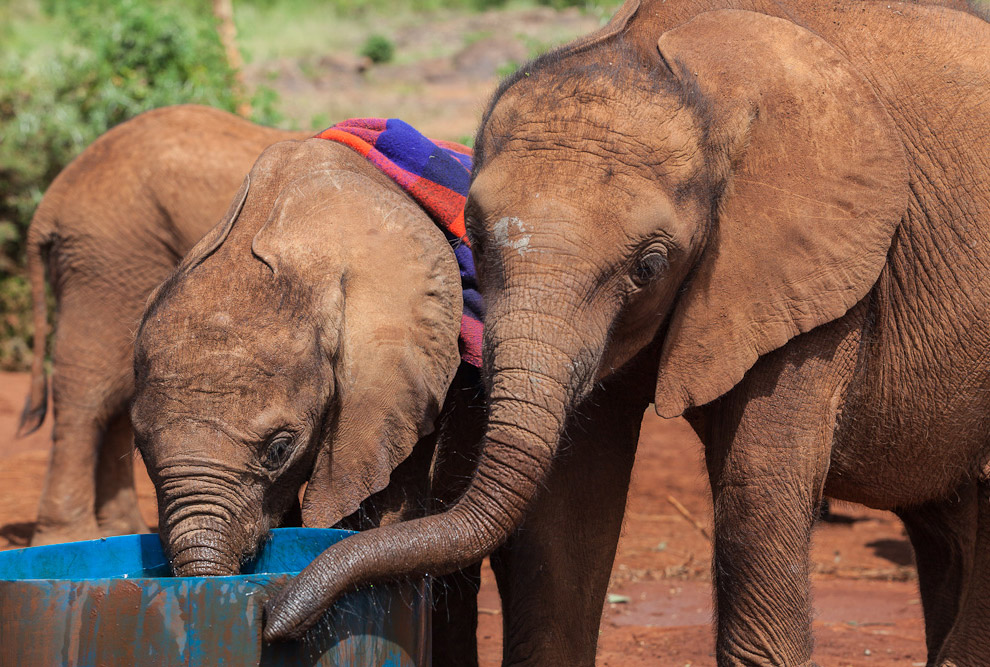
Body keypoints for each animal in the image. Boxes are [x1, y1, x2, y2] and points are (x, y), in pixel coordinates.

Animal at [18, 103, 306, 544]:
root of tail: (55, 194)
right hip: (114, 256)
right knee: (90, 391)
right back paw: (69, 540)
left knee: (118, 389)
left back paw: (120, 532)